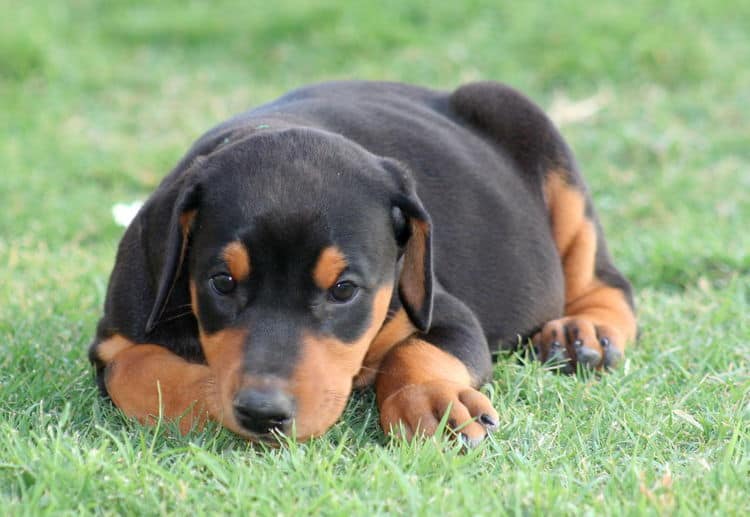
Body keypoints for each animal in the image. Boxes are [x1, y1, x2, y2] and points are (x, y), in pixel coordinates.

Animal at [89, 80, 640, 444]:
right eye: (221, 282)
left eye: (344, 290)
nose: (264, 412)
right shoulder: (116, 338)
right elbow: (143, 373)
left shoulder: (445, 312)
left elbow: (415, 351)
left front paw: (432, 403)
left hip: (535, 135)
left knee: (605, 279)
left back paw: (582, 332)